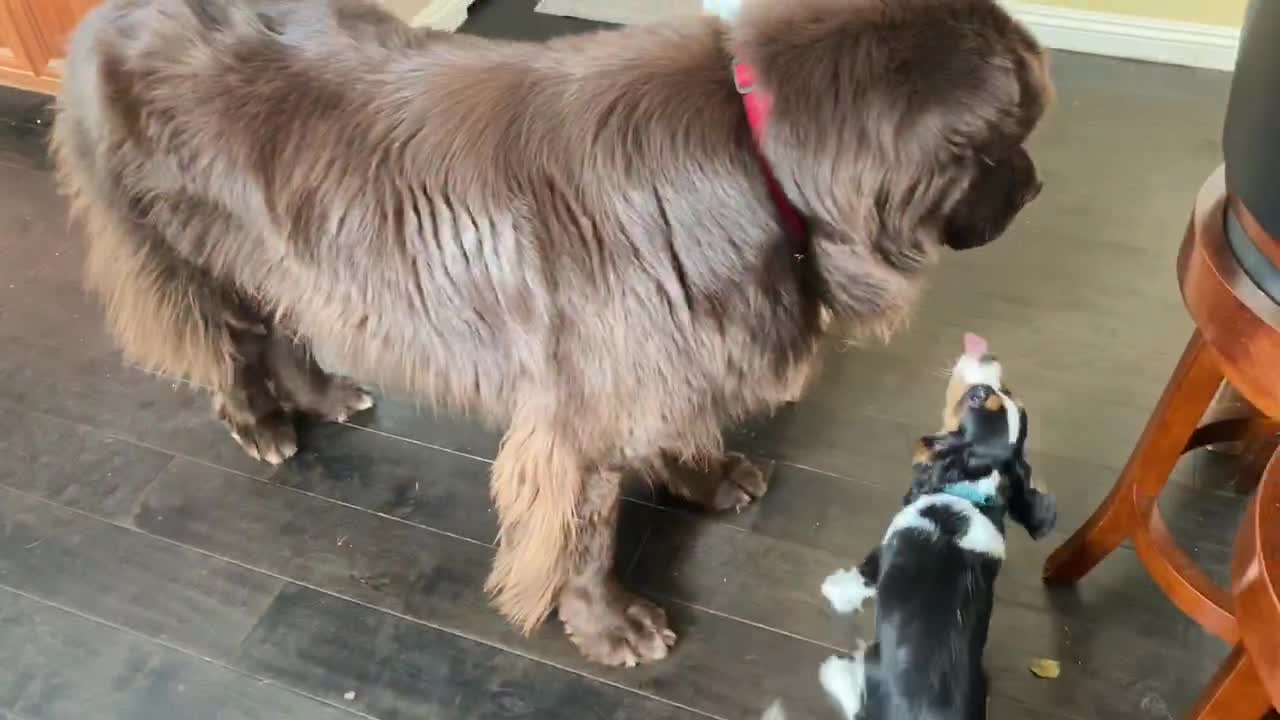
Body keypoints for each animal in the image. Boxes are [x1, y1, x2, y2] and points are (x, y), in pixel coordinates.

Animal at [49, 0, 1049, 661]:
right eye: (1009, 137)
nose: (1037, 187)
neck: (756, 152)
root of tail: (101, 18)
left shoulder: (670, 347)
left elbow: (677, 426)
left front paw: (705, 477)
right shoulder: (584, 404)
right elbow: (584, 530)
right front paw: (612, 624)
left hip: (285, 245)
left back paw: (325, 392)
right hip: (188, 240)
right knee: (229, 337)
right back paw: (262, 421)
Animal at [814, 333, 1054, 712]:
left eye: (977, 395)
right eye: (1001, 394)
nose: (988, 354)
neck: (967, 488)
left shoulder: (888, 544)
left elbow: (865, 570)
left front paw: (836, 588)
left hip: (874, 663)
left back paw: (836, 672)